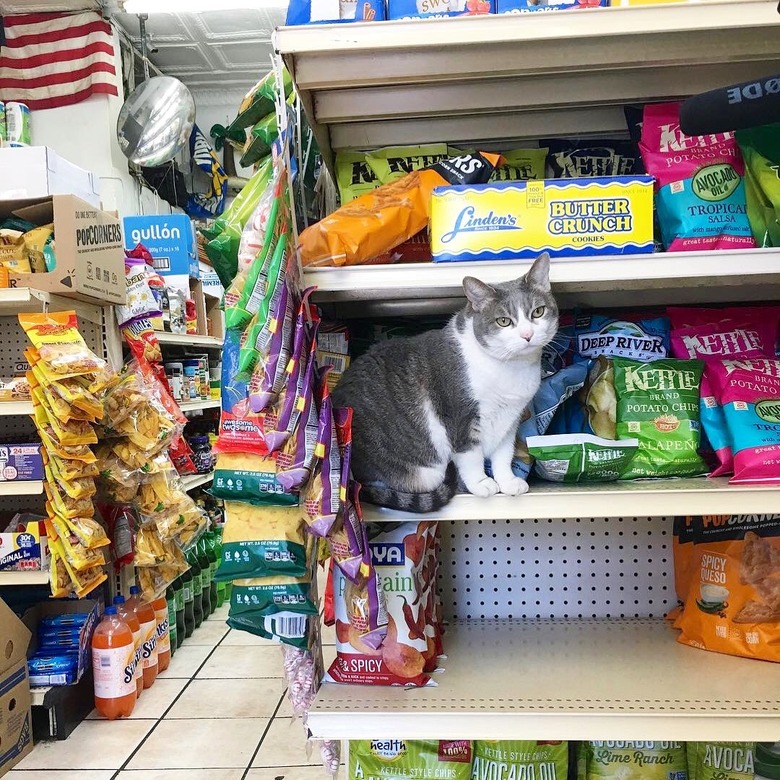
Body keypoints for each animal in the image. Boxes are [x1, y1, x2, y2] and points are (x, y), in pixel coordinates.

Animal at [332, 253, 556, 516]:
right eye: (504, 321)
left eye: (538, 312)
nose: (527, 335)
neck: (511, 368)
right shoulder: (460, 417)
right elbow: (471, 455)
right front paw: (481, 483)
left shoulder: (510, 420)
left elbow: (503, 454)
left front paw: (508, 481)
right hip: (423, 471)